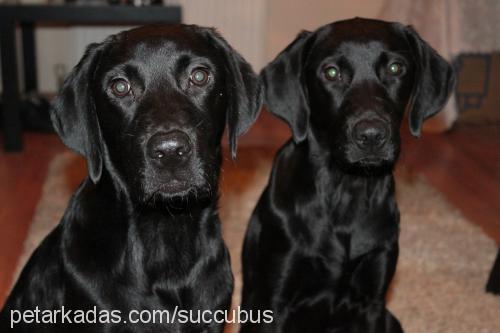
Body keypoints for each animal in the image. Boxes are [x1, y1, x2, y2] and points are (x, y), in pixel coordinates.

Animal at [240, 18, 456, 332]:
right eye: (331, 72)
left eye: (396, 68)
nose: (371, 136)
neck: (346, 190)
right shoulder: (273, 301)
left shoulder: (371, 302)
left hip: (391, 319)